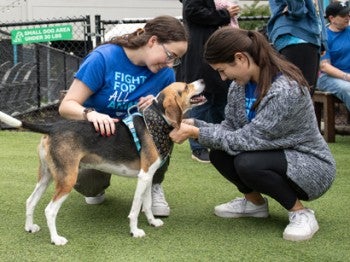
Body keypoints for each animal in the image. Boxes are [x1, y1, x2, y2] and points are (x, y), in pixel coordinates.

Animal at [0, 80, 206, 246]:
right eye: (186, 87)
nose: (203, 80)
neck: (157, 121)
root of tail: (52, 127)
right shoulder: (143, 176)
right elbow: (135, 208)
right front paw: (135, 231)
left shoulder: (148, 176)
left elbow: (146, 204)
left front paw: (153, 222)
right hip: (68, 178)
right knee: (49, 210)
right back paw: (56, 239)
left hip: (47, 176)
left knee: (30, 201)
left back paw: (30, 227)